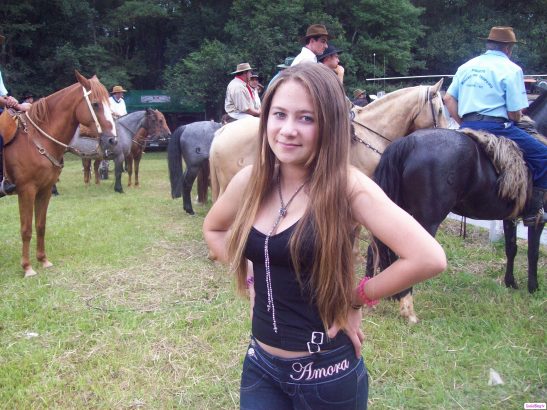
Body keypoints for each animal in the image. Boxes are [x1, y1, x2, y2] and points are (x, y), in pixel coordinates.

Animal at [2, 71, 117, 277]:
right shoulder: (26, 191)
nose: (112, 140)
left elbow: (40, 225)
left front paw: (43, 260)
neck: (37, 140)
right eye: (95, 104)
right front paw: (27, 267)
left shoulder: (45, 190)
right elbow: (26, 229)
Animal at [368, 126, 546, 324]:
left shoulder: (510, 218)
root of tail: (409, 142)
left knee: (374, 249)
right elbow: (533, 253)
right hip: (425, 222)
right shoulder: (536, 220)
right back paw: (408, 310)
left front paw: (510, 282)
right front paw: (533, 287)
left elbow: (511, 249)